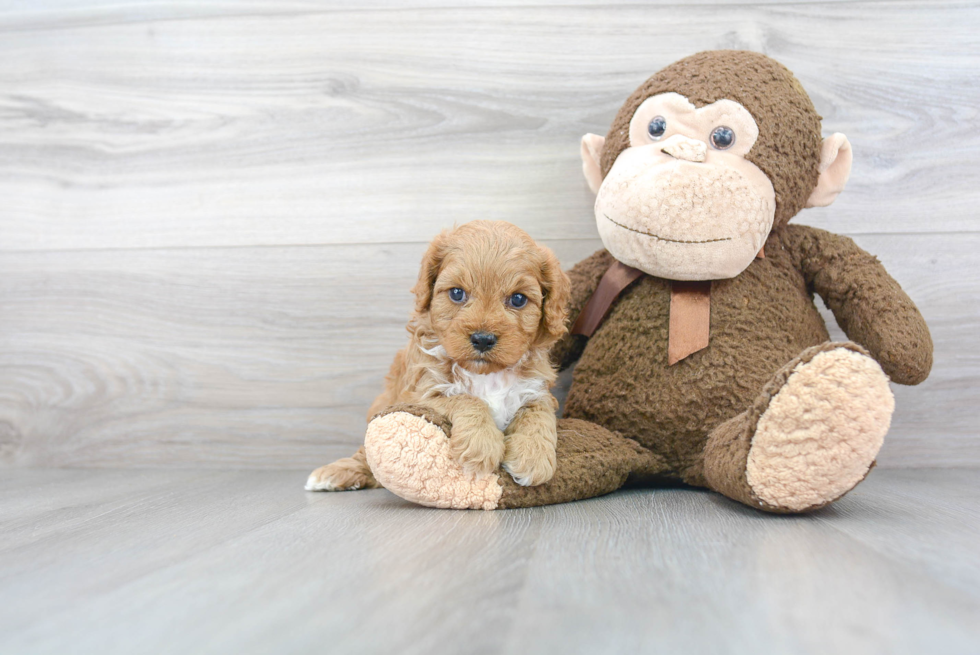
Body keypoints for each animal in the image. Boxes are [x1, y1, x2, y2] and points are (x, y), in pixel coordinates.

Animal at [304, 220, 568, 492]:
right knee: (365, 457)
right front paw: (481, 444)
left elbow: (537, 413)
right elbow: (467, 400)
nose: (483, 339)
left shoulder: (535, 389)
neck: (486, 375)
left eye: (518, 299)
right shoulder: (420, 394)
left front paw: (533, 457)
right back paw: (336, 474)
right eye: (456, 293)